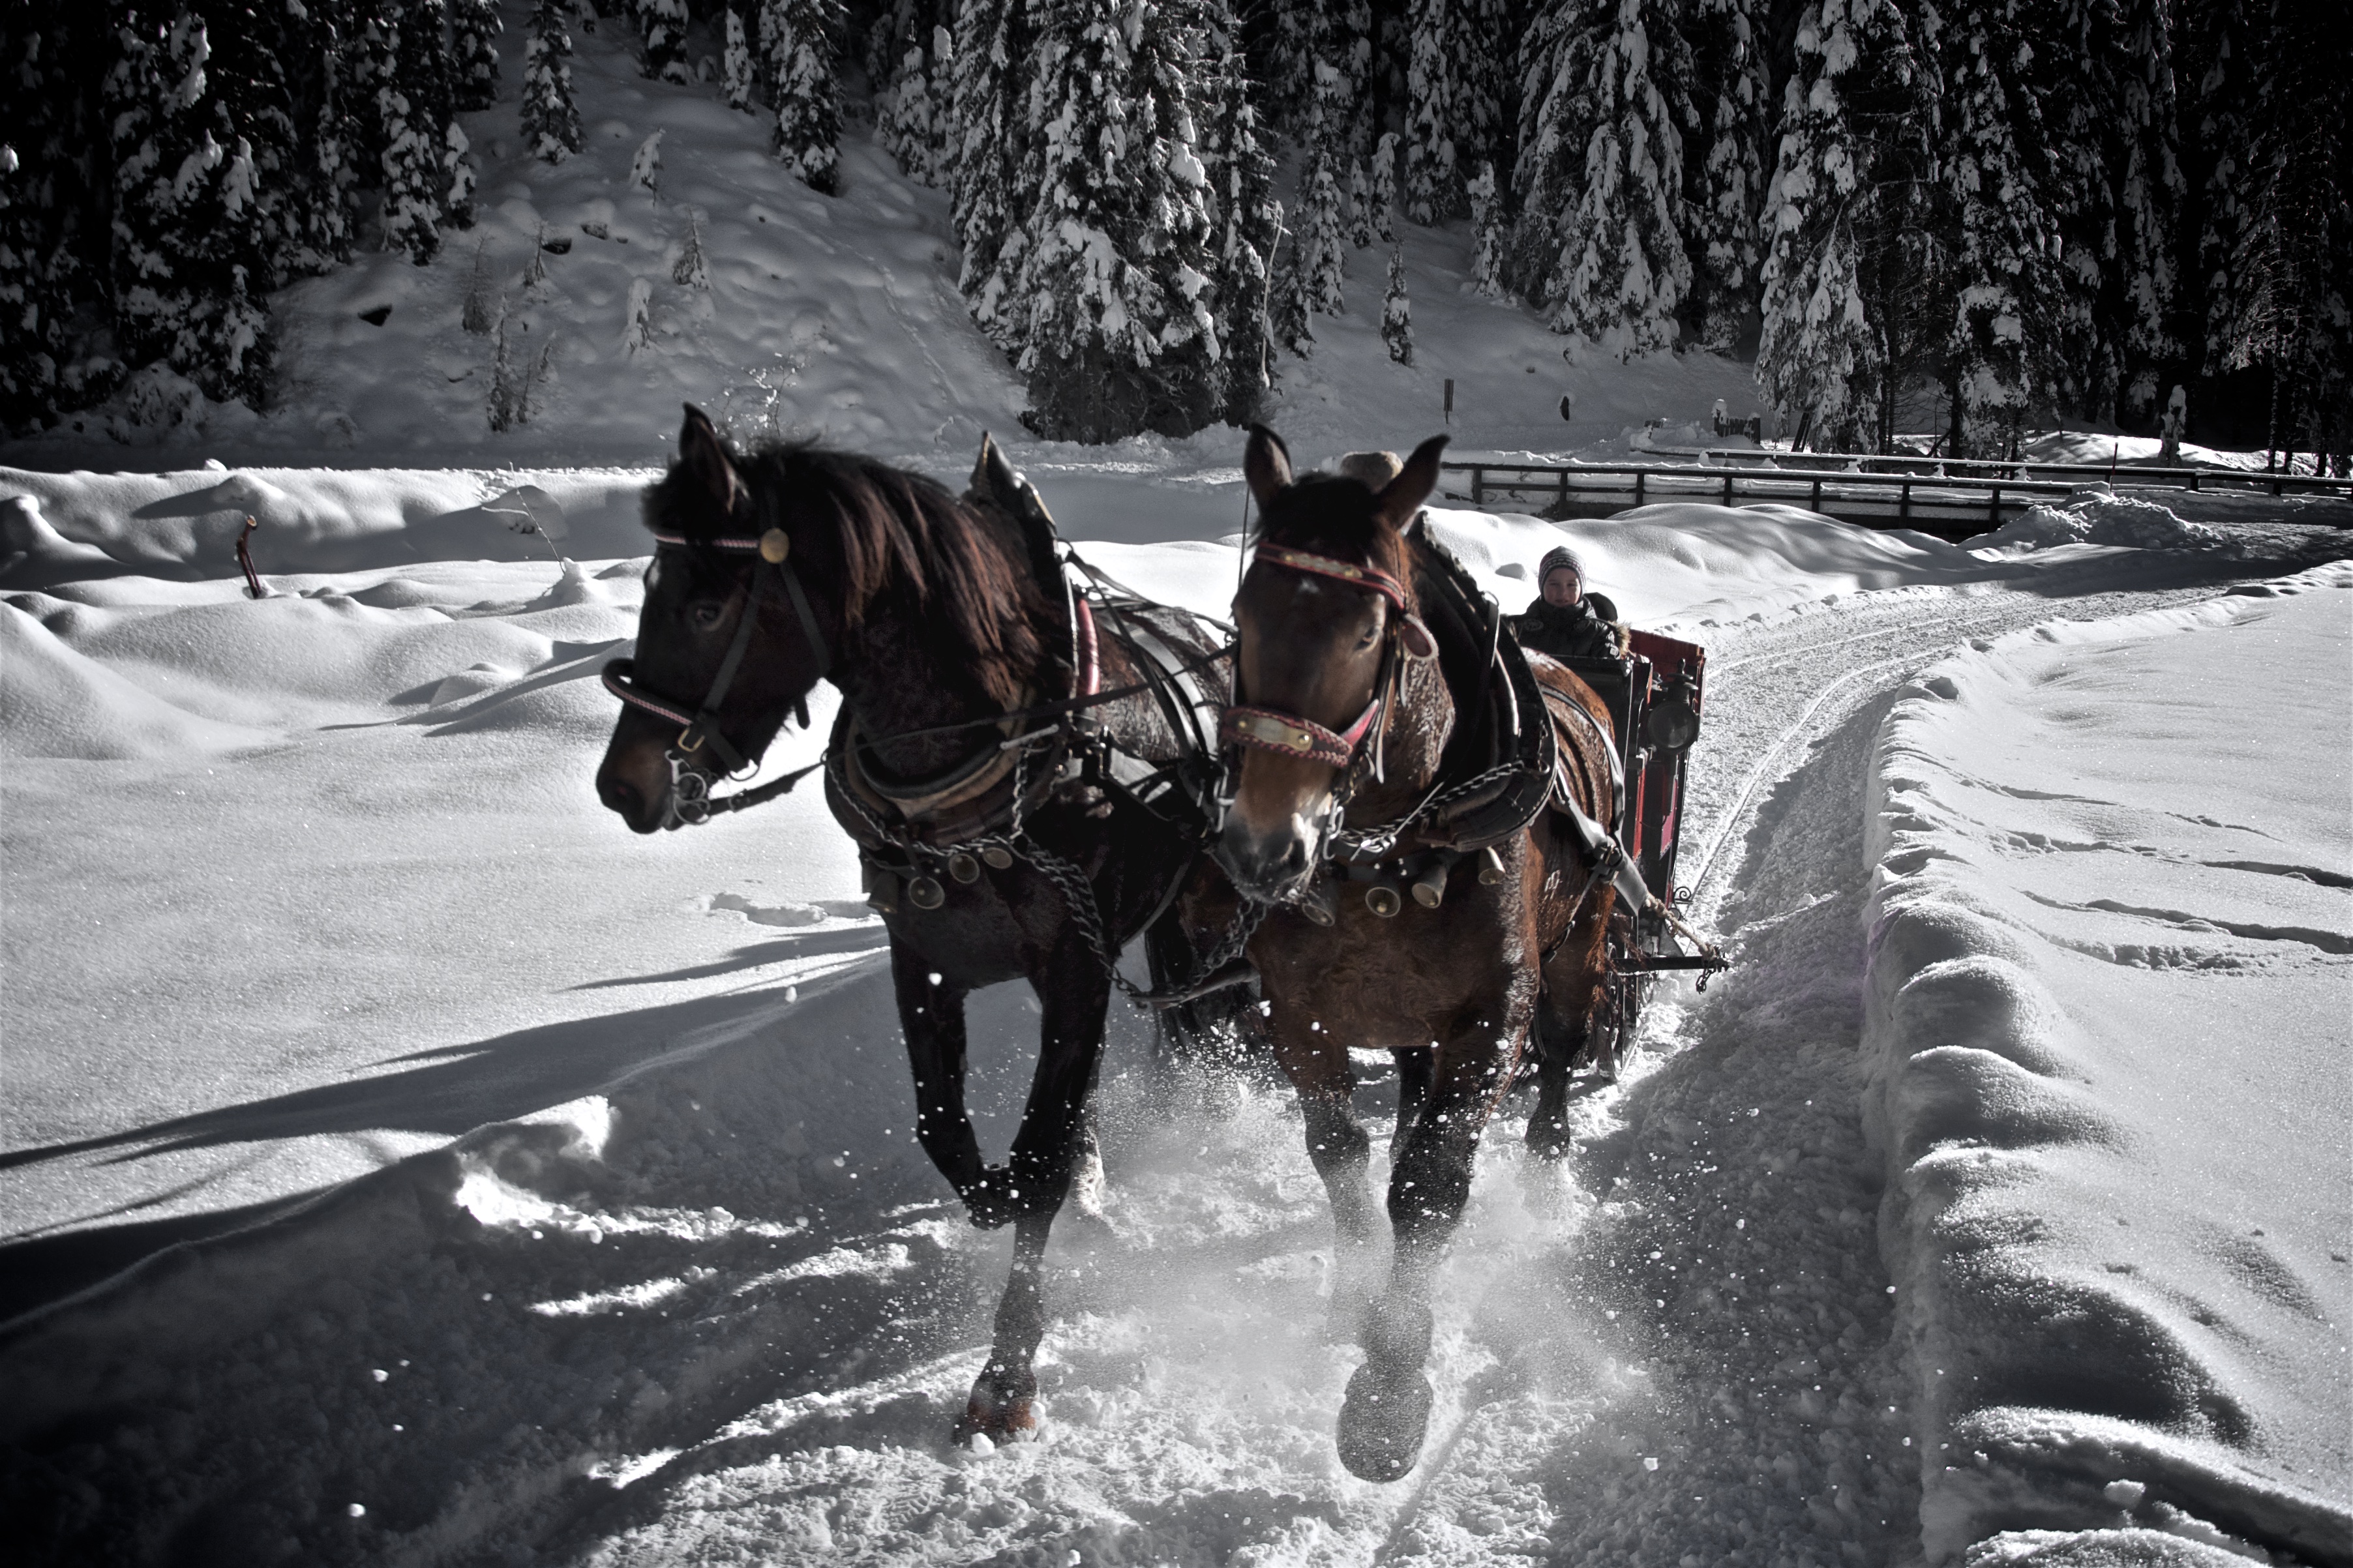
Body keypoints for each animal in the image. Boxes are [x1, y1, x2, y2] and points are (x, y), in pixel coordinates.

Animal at [597, 409, 1242, 1448]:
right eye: (654, 589)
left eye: (704, 607)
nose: (624, 785)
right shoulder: (925, 957)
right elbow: (951, 1135)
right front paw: (1027, 1198)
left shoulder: (1077, 963)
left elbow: (1042, 1151)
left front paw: (1007, 1370)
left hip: (1215, 912)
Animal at [1205, 430, 1628, 1485]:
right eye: (1241, 614)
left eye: (1367, 635)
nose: (1262, 849)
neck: (1388, 847)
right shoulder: (1300, 1011)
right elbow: (1339, 1157)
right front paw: (1355, 1302)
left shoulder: (1491, 1017)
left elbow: (1432, 1187)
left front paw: (1390, 1389)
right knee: (1405, 1083)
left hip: (1583, 941)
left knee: (1560, 1056)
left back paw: (1546, 1170)